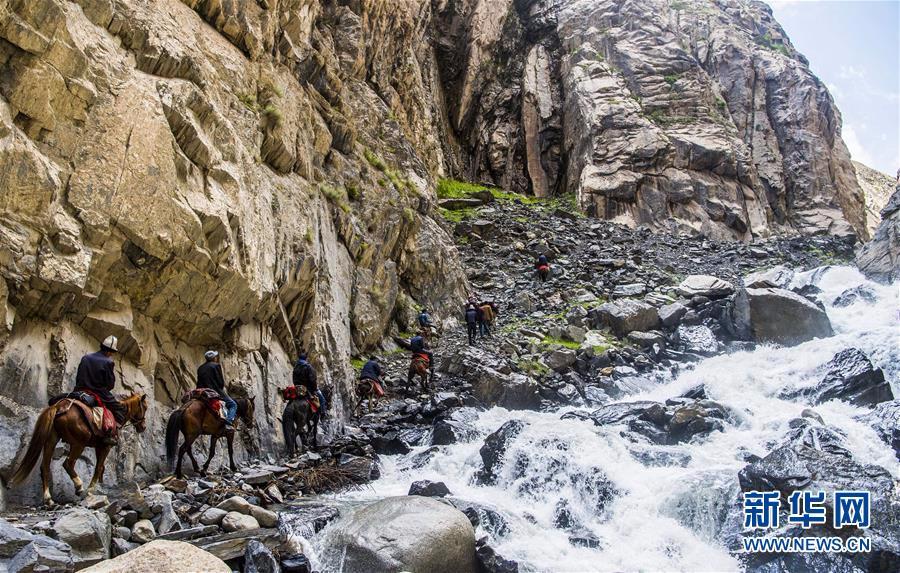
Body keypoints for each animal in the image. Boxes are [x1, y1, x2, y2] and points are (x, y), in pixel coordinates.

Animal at [9, 394, 148, 504]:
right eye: (145, 407)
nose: (143, 427)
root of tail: (58, 407)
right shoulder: (105, 446)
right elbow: (98, 467)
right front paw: (91, 490)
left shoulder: (98, 446)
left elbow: (100, 467)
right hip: (78, 443)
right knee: (68, 463)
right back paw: (79, 487)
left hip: (51, 441)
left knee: (45, 467)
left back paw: (48, 499)